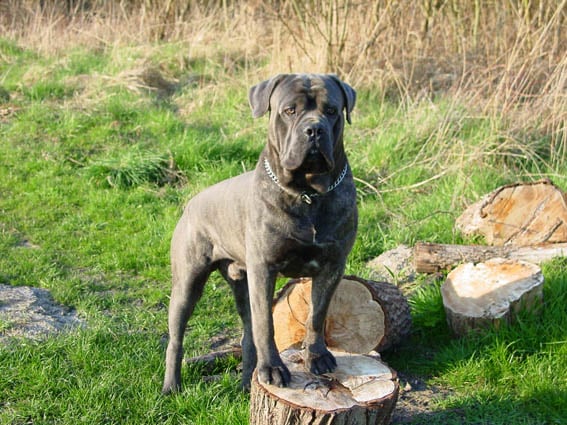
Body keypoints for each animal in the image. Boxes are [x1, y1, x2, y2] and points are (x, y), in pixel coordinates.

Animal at [162, 73, 358, 394]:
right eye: (289, 110)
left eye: (331, 110)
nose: (314, 129)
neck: (307, 194)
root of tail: (190, 203)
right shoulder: (265, 268)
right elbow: (266, 324)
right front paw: (273, 369)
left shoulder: (332, 265)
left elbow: (316, 315)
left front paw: (317, 357)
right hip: (188, 283)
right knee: (176, 338)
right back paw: (171, 386)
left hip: (241, 283)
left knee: (247, 332)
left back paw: (246, 383)